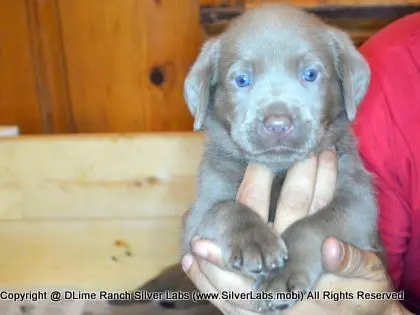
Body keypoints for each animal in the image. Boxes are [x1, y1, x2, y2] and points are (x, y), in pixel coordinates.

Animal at [110, 3, 382, 314]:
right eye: (242, 80)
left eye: (311, 74)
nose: (278, 123)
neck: (279, 170)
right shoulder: (196, 217)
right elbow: (226, 208)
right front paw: (256, 242)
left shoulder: (360, 204)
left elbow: (314, 224)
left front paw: (281, 277)